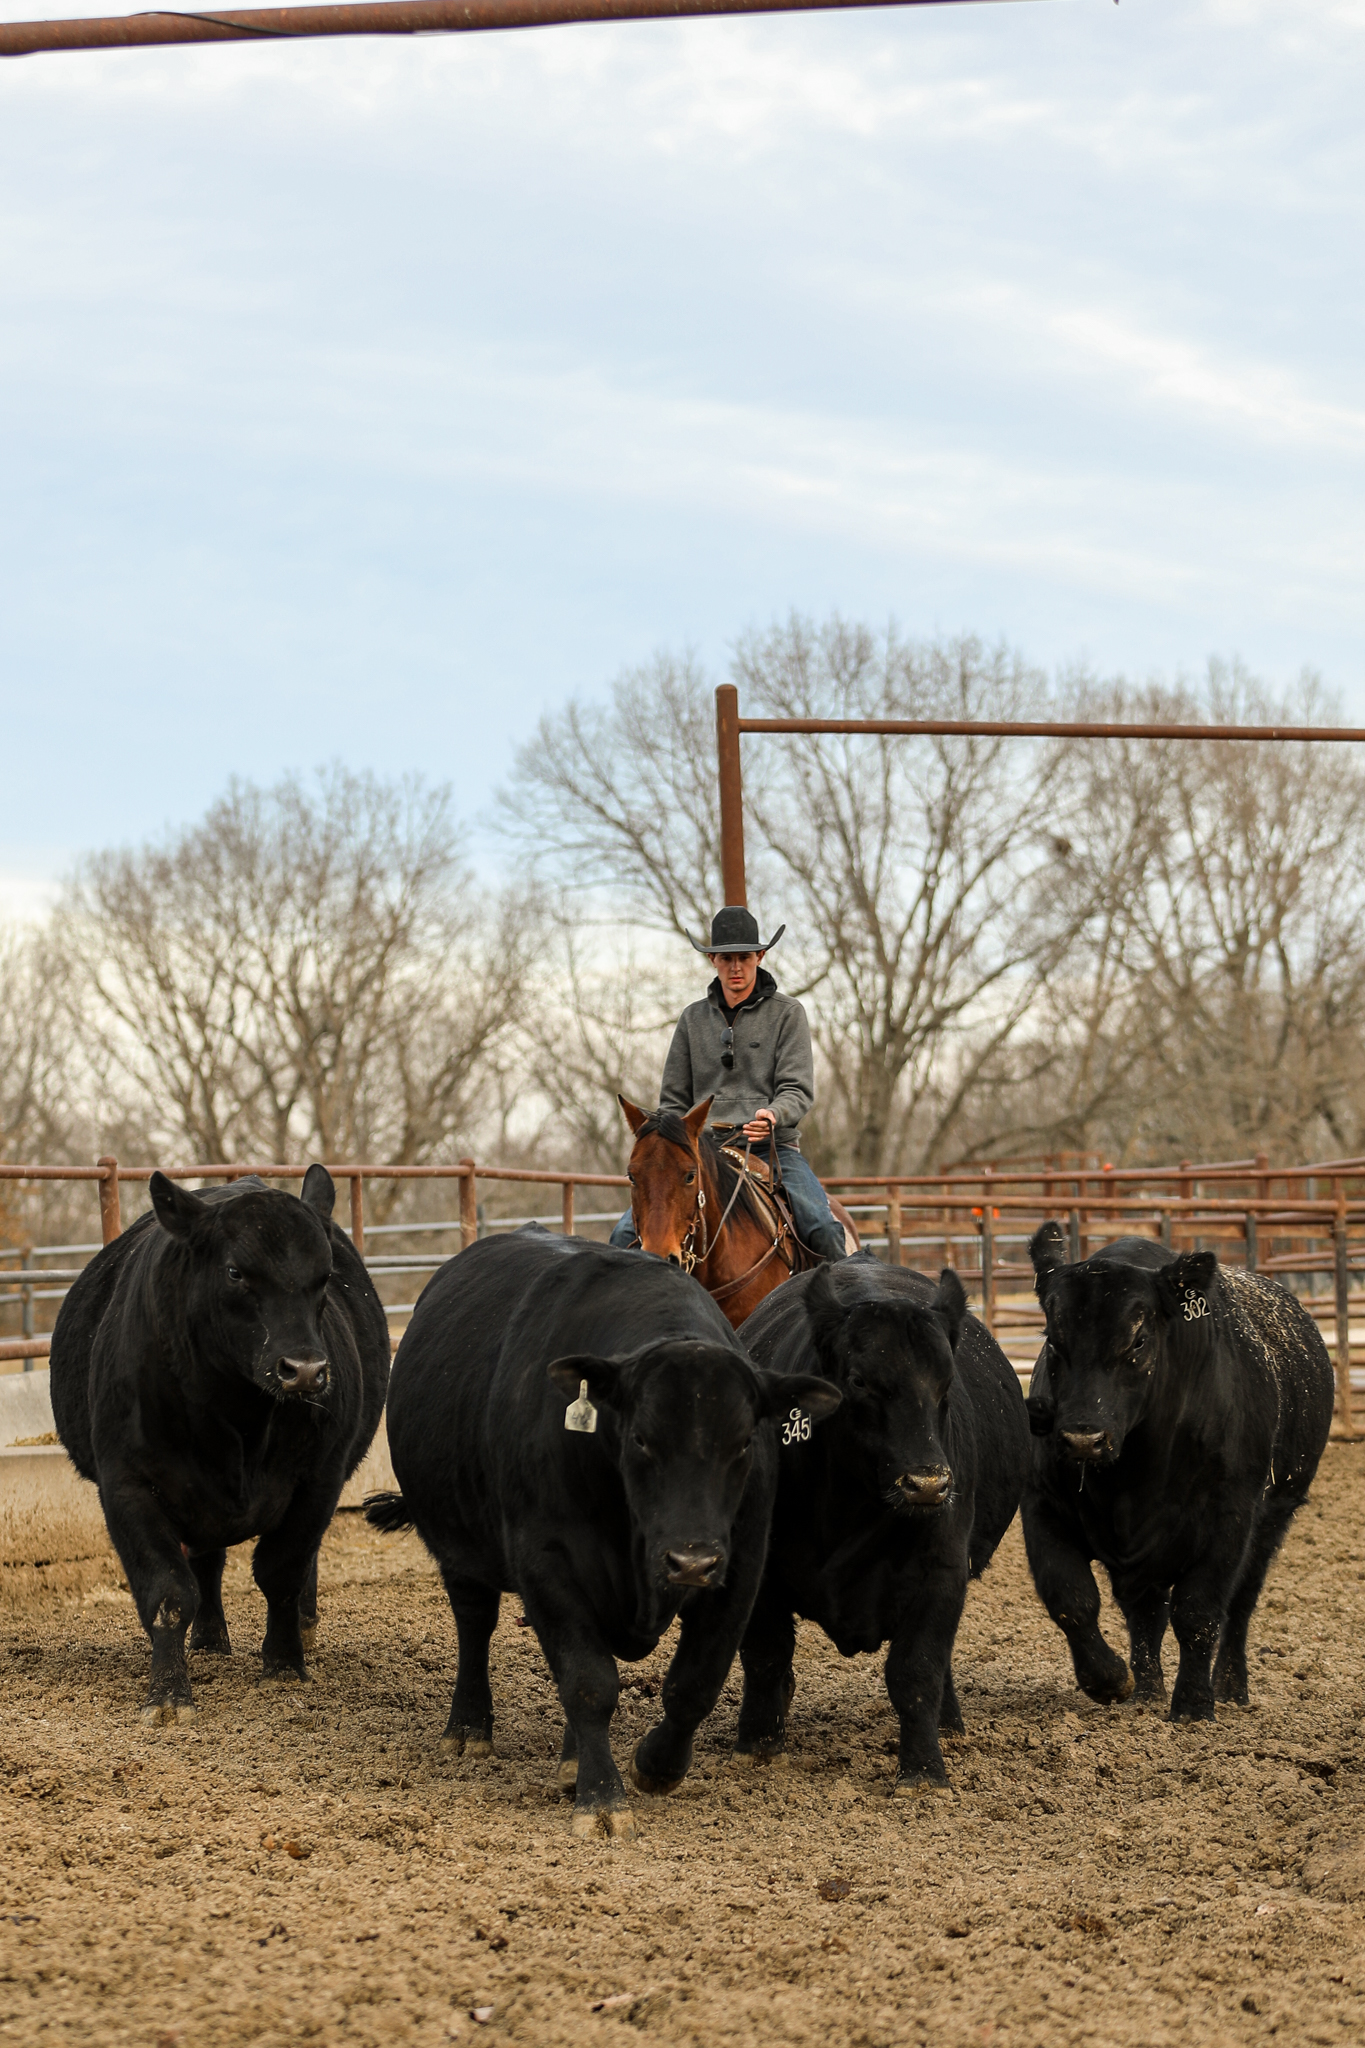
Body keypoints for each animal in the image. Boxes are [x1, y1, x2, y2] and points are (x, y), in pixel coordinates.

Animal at [49, 1168, 389, 1725]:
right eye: (234, 1272)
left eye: (324, 1276)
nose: (306, 1371)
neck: (236, 1418)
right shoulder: (127, 1484)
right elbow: (168, 1592)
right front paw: (168, 1694)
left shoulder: (320, 1479)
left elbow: (283, 1572)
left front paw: (284, 1663)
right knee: (204, 1566)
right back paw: (208, 1642)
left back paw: (303, 1626)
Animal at [363, 1227, 840, 1838]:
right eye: (640, 1438)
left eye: (742, 1444)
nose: (690, 1563)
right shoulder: (545, 1558)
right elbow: (589, 1682)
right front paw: (602, 1797)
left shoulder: (741, 1562)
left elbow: (697, 1680)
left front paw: (656, 1765)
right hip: (458, 1546)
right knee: (475, 1626)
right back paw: (468, 1730)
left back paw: (570, 1761)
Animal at [733, 1256, 1031, 1792]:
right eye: (858, 1381)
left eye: (946, 1381)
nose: (928, 1483)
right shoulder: (757, 1569)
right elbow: (767, 1657)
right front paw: (758, 1748)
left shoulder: (943, 1572)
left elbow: (918, 1670)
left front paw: (924, 1772)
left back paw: (948, 1725)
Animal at [1022, 1224, 1334, 1723]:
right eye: (1054, 1339)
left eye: (1138, 1341)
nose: (1082, 1440)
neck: (1133, 1476)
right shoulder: (1043, 1504)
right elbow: (1071, 1598)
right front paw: (1108, 1679)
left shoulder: (1230, 1516)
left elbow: (1199, 1611)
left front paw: (1193, 1704)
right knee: (1146, 1613)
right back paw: (1148, 1690)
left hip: (1273, 1520)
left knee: (1240, 1605)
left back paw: (1230, 1686)